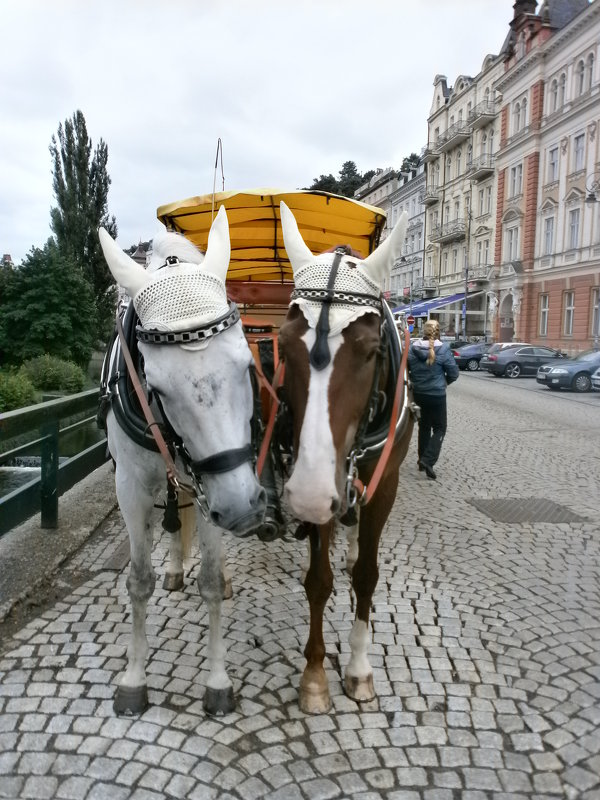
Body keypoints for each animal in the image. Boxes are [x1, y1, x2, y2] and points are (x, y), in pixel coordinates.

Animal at [98, 205, 264, 712]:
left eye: (247, 365)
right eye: (155, 387)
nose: (244, 509)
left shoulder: (216, 487)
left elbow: (209, 580)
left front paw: (217, 680)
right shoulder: (131, 488)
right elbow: (137, 580)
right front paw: (134, 678)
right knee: (173, 520)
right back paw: (173, 567)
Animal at [278, 203, 414, 716]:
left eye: (372, 351)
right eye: (281, 342)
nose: (310, 496)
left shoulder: (384, 484)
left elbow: (367, 577)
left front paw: (358, 668)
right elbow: (319, 579)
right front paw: (315, 676)